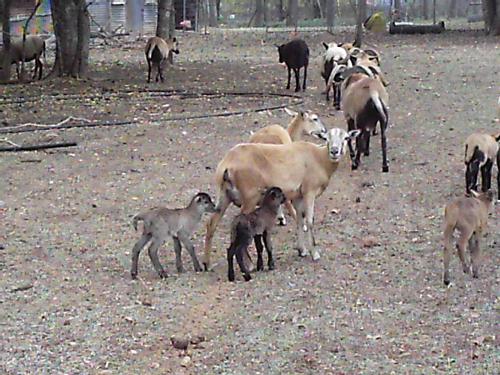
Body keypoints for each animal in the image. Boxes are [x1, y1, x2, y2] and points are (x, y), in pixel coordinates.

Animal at [201, 128, 362, 268]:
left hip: (224, 195)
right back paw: (249, 264)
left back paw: (207, 263)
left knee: (211, 224)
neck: (320, 159)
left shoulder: (298, 196)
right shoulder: (309, 192)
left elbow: (299, 220)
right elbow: (309, 221)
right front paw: (315, 253)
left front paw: (302, 250)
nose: (334, 151)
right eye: (326, 138)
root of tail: (227, 164)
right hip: (250, 197)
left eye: (346, 138)